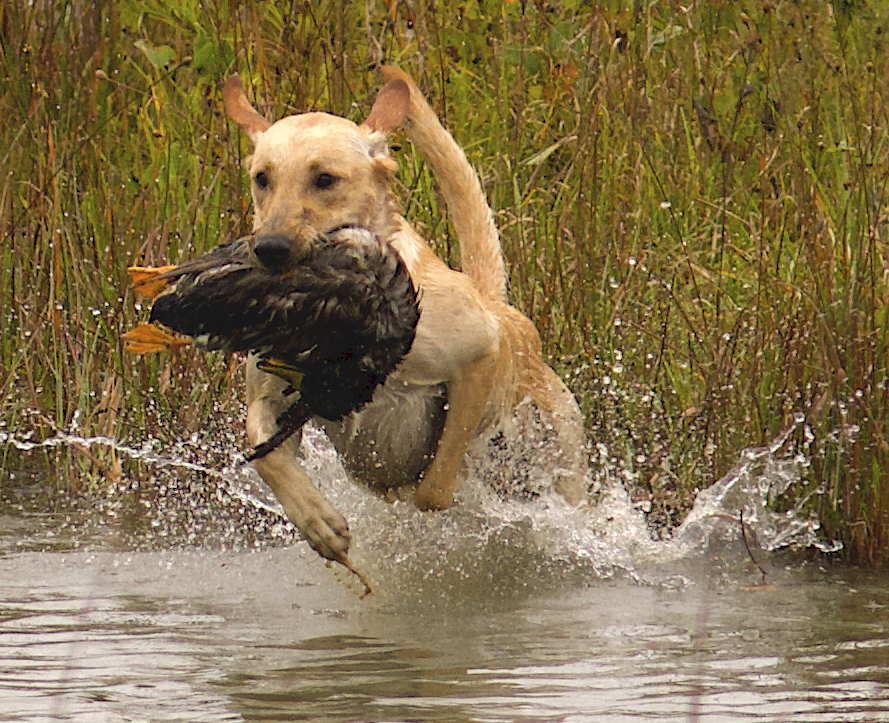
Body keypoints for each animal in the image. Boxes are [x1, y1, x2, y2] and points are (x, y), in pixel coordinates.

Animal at [220, 66, 588, 560]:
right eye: (263, 178)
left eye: (325, 179)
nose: (270, 248)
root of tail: (498, 304)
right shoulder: (272, 397)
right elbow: (264, 448)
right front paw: (317, 521)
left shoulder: (479, 354)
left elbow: (435, 486)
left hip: (563, 460)